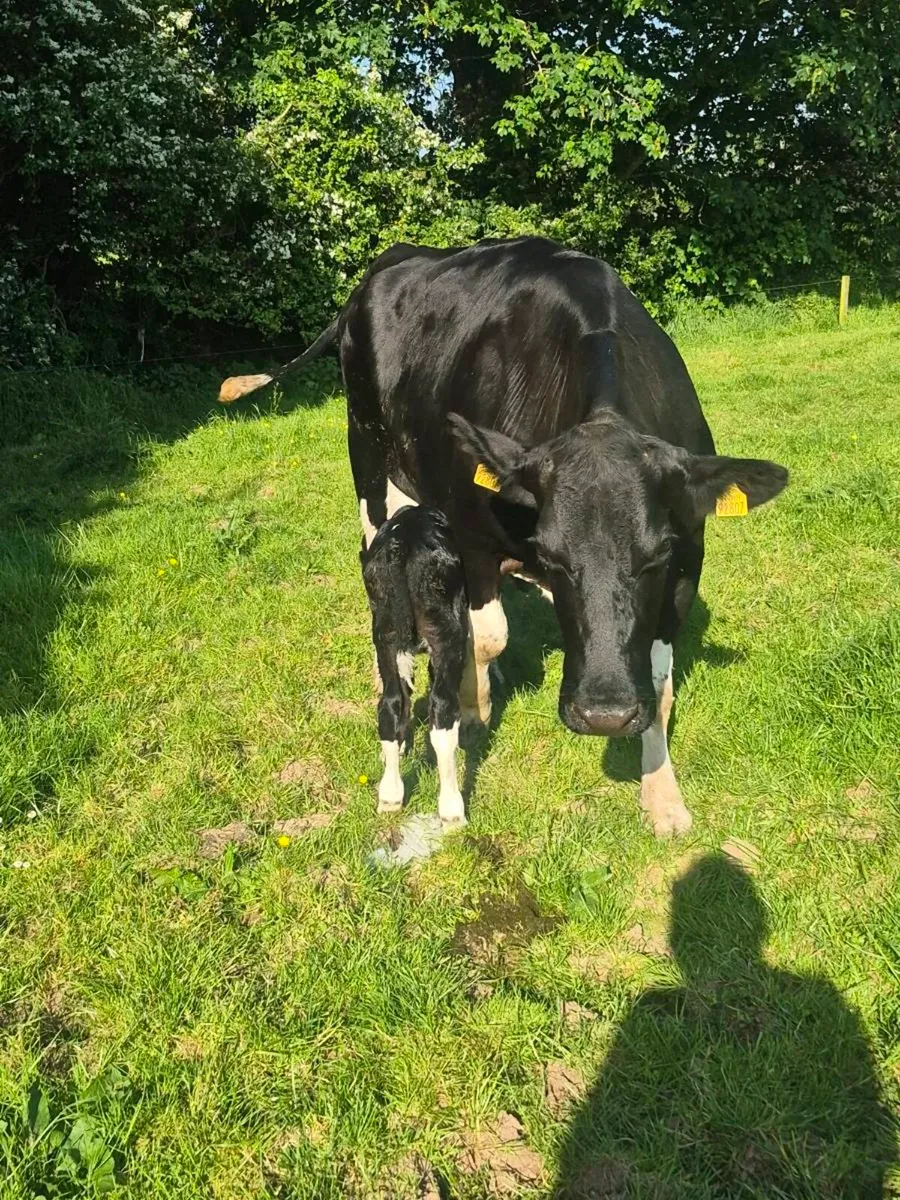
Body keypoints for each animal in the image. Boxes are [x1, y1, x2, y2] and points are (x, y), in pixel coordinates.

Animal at [360, 504, 468, 826]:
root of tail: (403, 543)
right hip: (447, 634)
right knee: (443, 708)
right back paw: (452, 811)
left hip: (385, 631)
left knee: (390, 703)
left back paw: (390, 795)